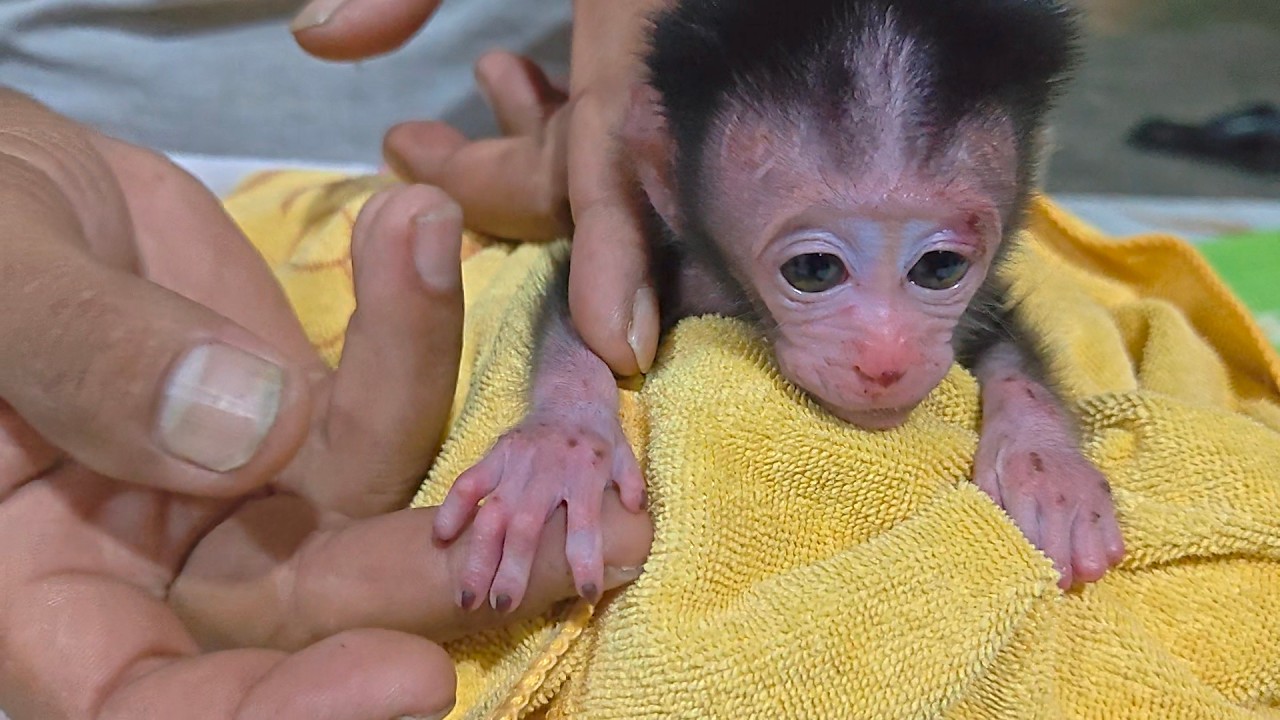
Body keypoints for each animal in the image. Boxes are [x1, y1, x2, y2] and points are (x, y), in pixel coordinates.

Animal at [432, 0, 1127, 613]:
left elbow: (1008, 344)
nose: (887, 361)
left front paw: (1048, 467)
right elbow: (583, 315)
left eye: (940, 268)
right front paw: (559, 452)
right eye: (814, 270)